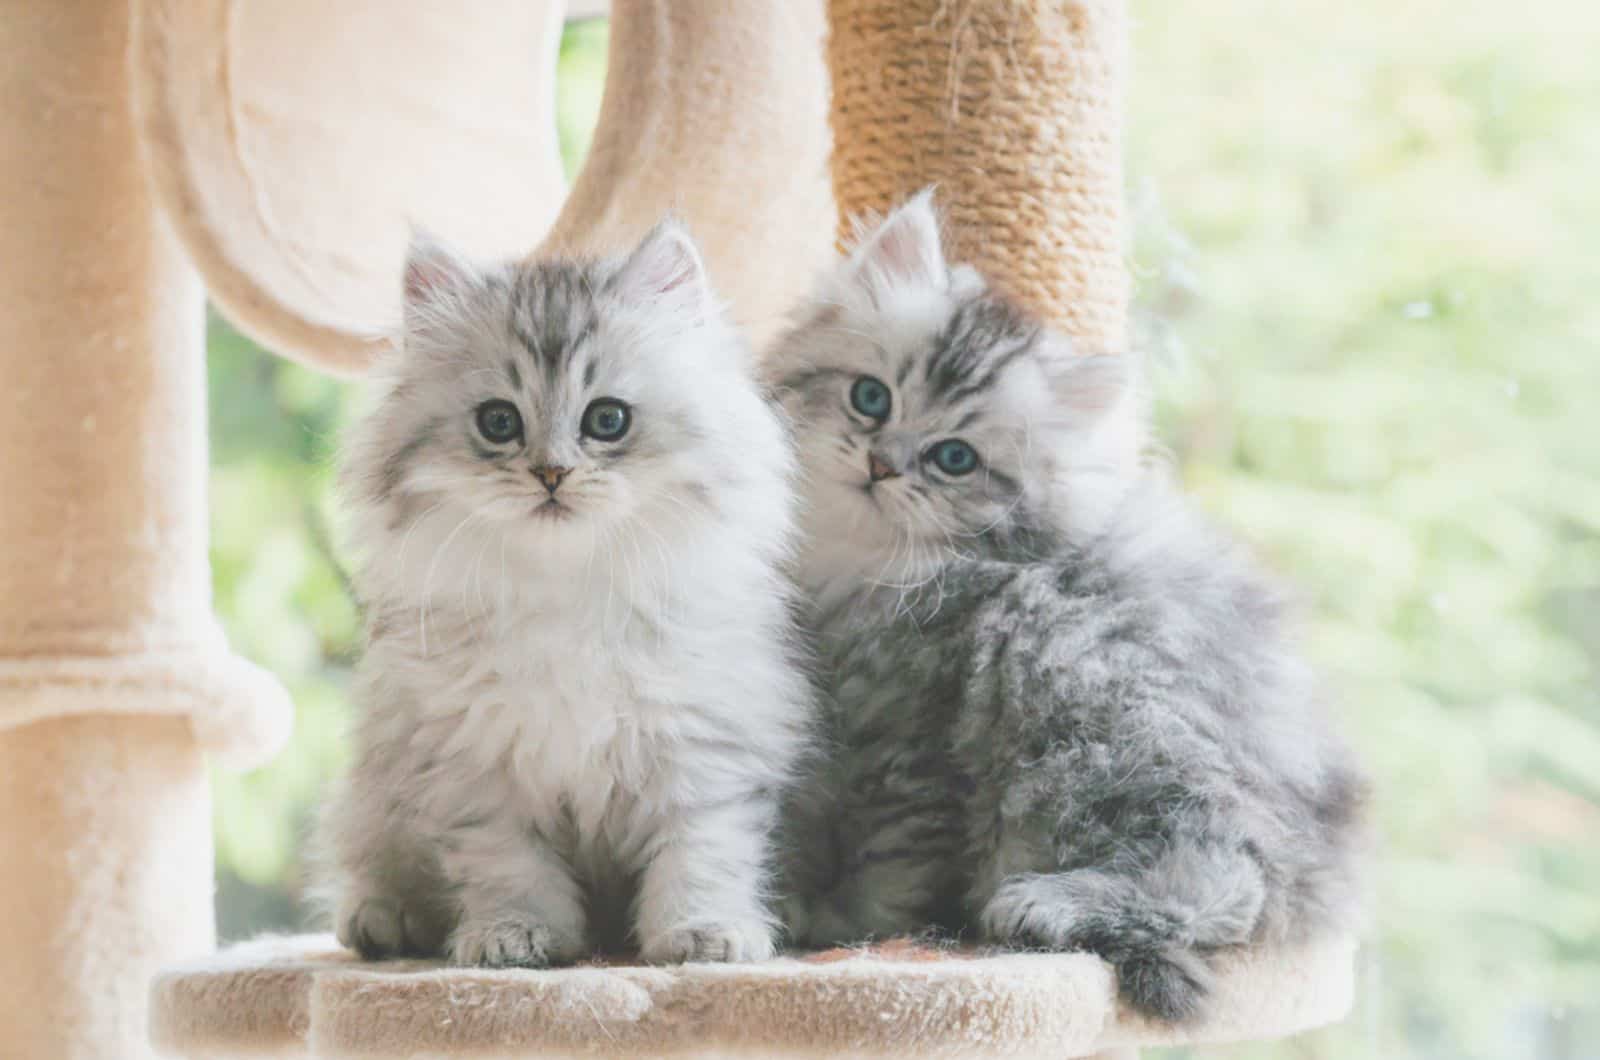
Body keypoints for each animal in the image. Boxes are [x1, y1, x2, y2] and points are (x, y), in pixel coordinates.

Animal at [316, 224, 806, 973]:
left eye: (607, 420)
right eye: (498, 422)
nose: (551, 473)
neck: (566, 590)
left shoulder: (700, 752)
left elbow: (698, 856)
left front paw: (703, 937)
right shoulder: (475, 770)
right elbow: (510, 867)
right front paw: (514, 938)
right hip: (374, 801)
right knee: (373, 872)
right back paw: (385, 922)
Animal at [768, 195, 1369, 1024]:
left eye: (954, 459)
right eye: (870, 398)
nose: (882, 465)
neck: (861, 563)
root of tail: (1319, 852)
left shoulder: (911, 747)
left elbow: (888, 871)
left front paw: (839, 931)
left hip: (1086, 689)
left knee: (1226, 880)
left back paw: (1042, 907)